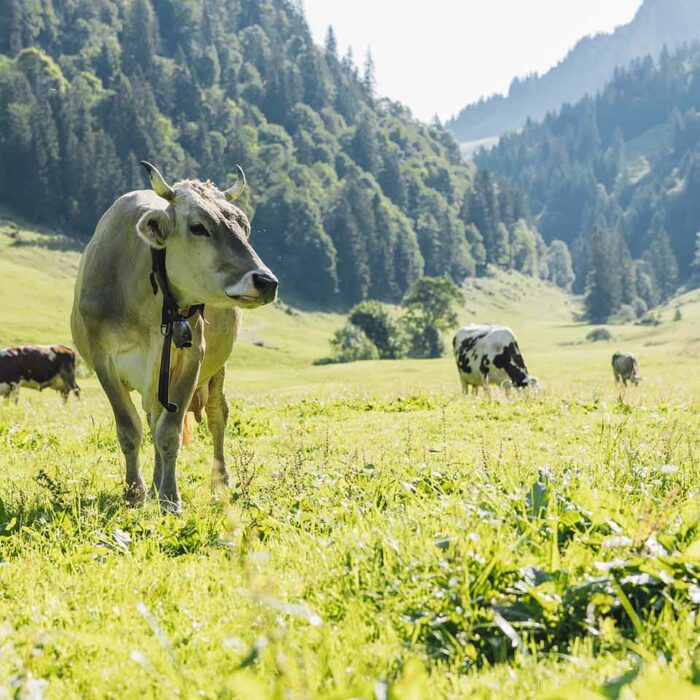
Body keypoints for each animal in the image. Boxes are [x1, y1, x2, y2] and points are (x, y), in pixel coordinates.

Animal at [71, 164, 278, 516]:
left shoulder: (191, 358)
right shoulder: (104, 362)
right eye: (198, 227)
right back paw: (153, 485)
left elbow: (169, 433)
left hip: (214, 369)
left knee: (216, 414)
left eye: (244, 226)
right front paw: (135, 492)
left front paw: (169, 499)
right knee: (153, 419)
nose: (266, 281)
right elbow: (130, 429)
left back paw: (219, 480)